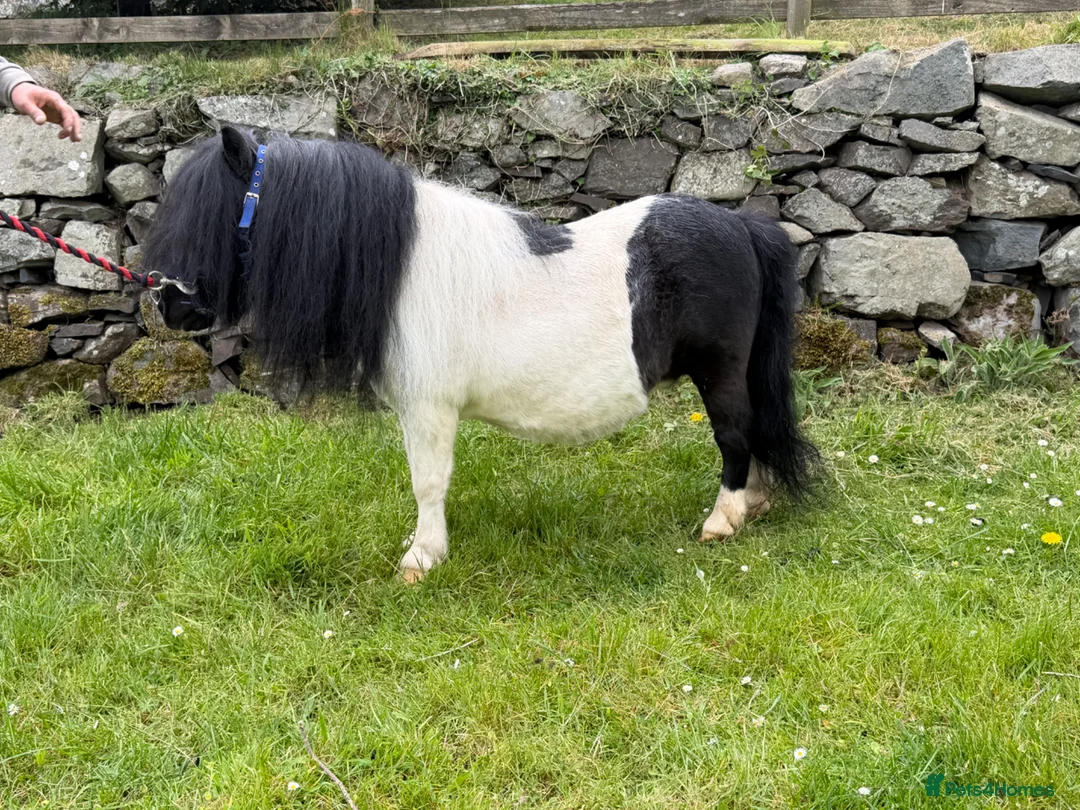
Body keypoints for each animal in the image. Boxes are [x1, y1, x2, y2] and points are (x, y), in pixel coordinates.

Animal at [145, 125, 817, 582]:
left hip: (720, 371)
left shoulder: (428, 408)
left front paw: (422, 557)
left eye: (211, 212)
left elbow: (427, 480)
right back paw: (754, 504)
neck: (399, 266)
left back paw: (723, 518)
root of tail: (742, 227)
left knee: (735, 435)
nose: (167, 304)